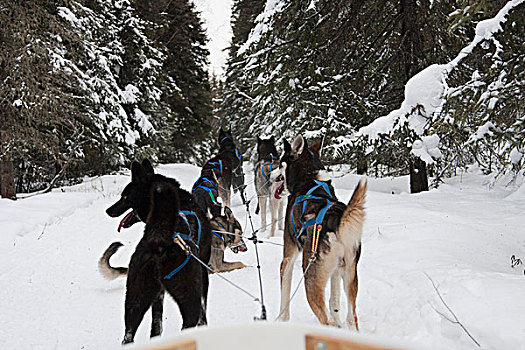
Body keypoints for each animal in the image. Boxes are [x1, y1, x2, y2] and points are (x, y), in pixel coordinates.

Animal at [100, 162, 211, 344]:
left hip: (134, 300)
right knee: (189, 325)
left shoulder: (158, 293)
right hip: (189, 296)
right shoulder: (204, 274)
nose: (108, 210)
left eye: (125, 197)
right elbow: (204, 313)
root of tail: (159, 241)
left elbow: (156, 325)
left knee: (128, 336)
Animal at [276, 135, 366, 330]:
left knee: (325, 320)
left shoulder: (288, 258)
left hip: (310, 280)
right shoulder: (335, 271)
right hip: (349, 276)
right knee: (351, 317)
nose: (272, 173)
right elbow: (334, 304)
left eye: (279, 163)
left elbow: (284, 300)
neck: (309, 179)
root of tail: (335, 221)